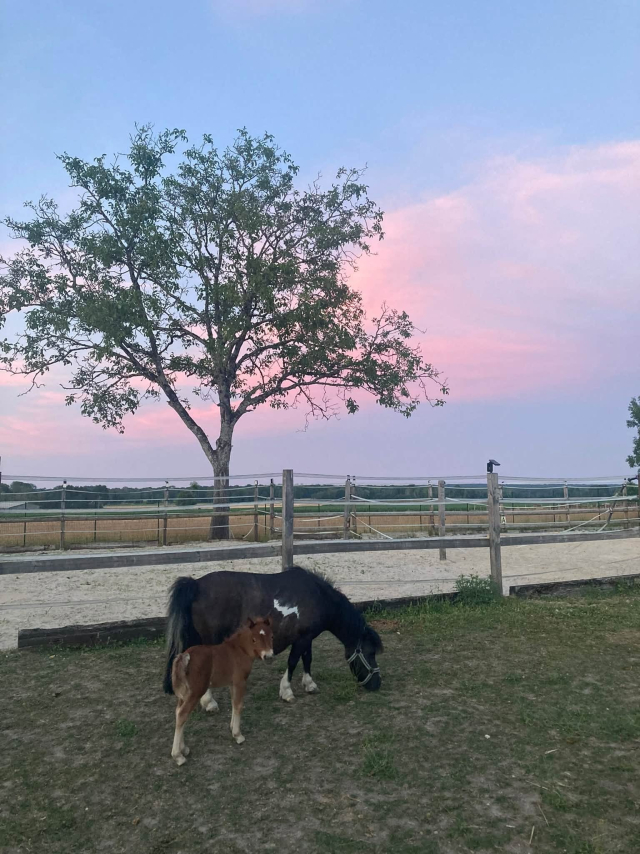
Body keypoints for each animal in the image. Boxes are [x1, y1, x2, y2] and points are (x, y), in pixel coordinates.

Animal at [163, 566, 383, 709]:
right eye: (370, 653)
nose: (377, 684)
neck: (318, 596)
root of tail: (196, 584)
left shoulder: (308, 637)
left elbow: (307, 659)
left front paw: (309, 684)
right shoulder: (301, 639)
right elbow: (293, 661)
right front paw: (287, 691)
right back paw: (209, 702)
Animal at [170, 617, 274, 765]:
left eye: (272, 636)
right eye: (254, 639)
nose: (269, 656)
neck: (239, 650)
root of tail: (185, 656)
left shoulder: (232, 684)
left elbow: (233, 703)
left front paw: (232, 727)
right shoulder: (240, 682)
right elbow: (239, 705)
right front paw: (238, 735)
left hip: (185, 694)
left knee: (178, 712)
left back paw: (183, 748)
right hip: (196, 692)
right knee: (182, 714)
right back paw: (178, 756)